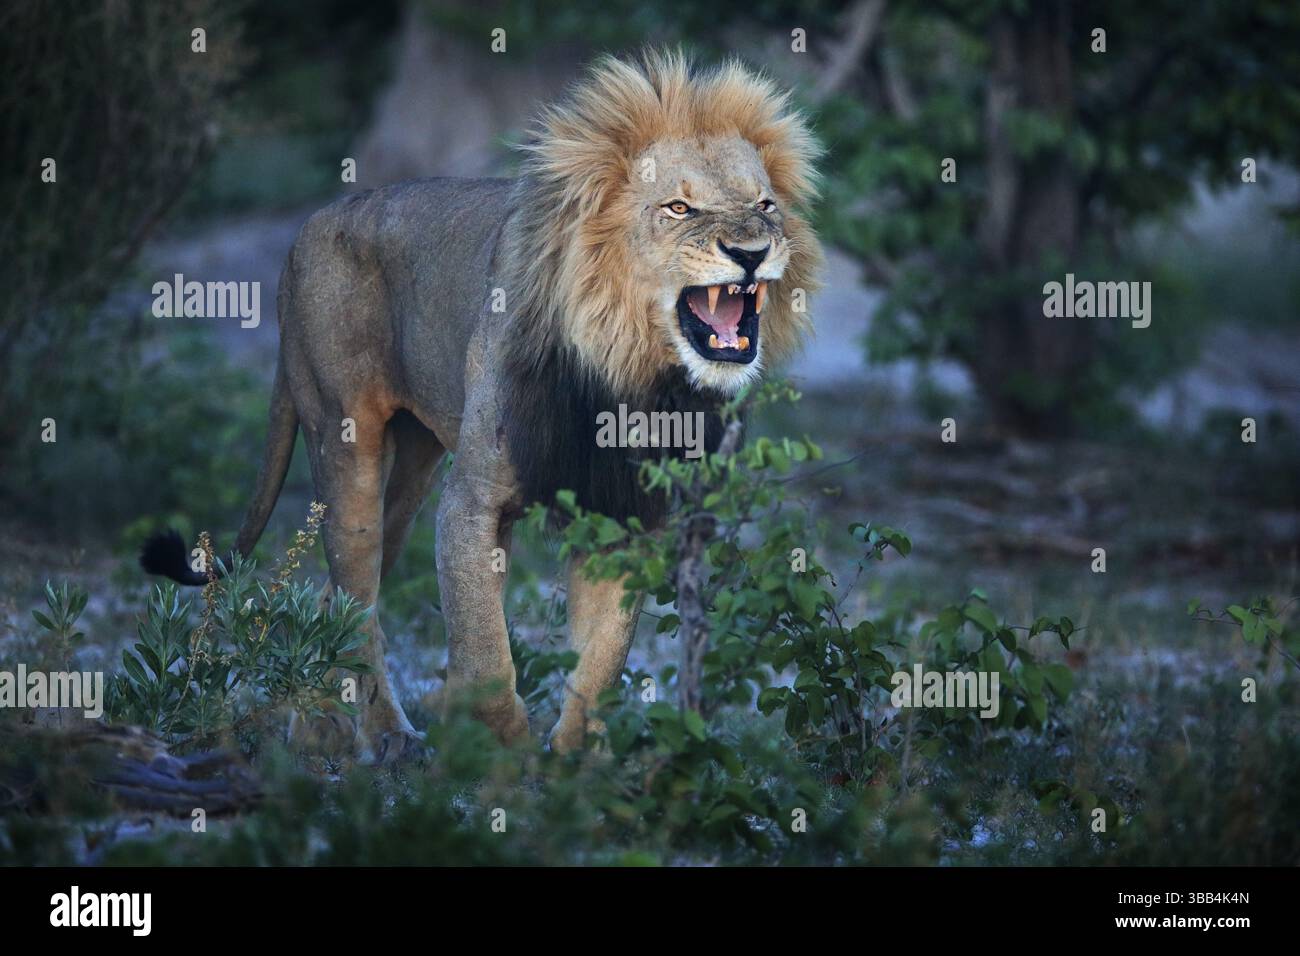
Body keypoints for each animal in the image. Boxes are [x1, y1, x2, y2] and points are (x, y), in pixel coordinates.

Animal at [141, 49, 823, 760]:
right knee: (359, 596)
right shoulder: (472, 504)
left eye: (765, 204)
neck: (624, 368)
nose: (752, 253)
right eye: (680, 207)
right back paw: (387, 736)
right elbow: (482, 640)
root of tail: (306, 229)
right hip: (345, 440)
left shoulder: (620, 516)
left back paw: (319, 725)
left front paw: (576, 762)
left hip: (413, 470)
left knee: (334, 592)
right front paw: (500, 746)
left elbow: (602, 659)